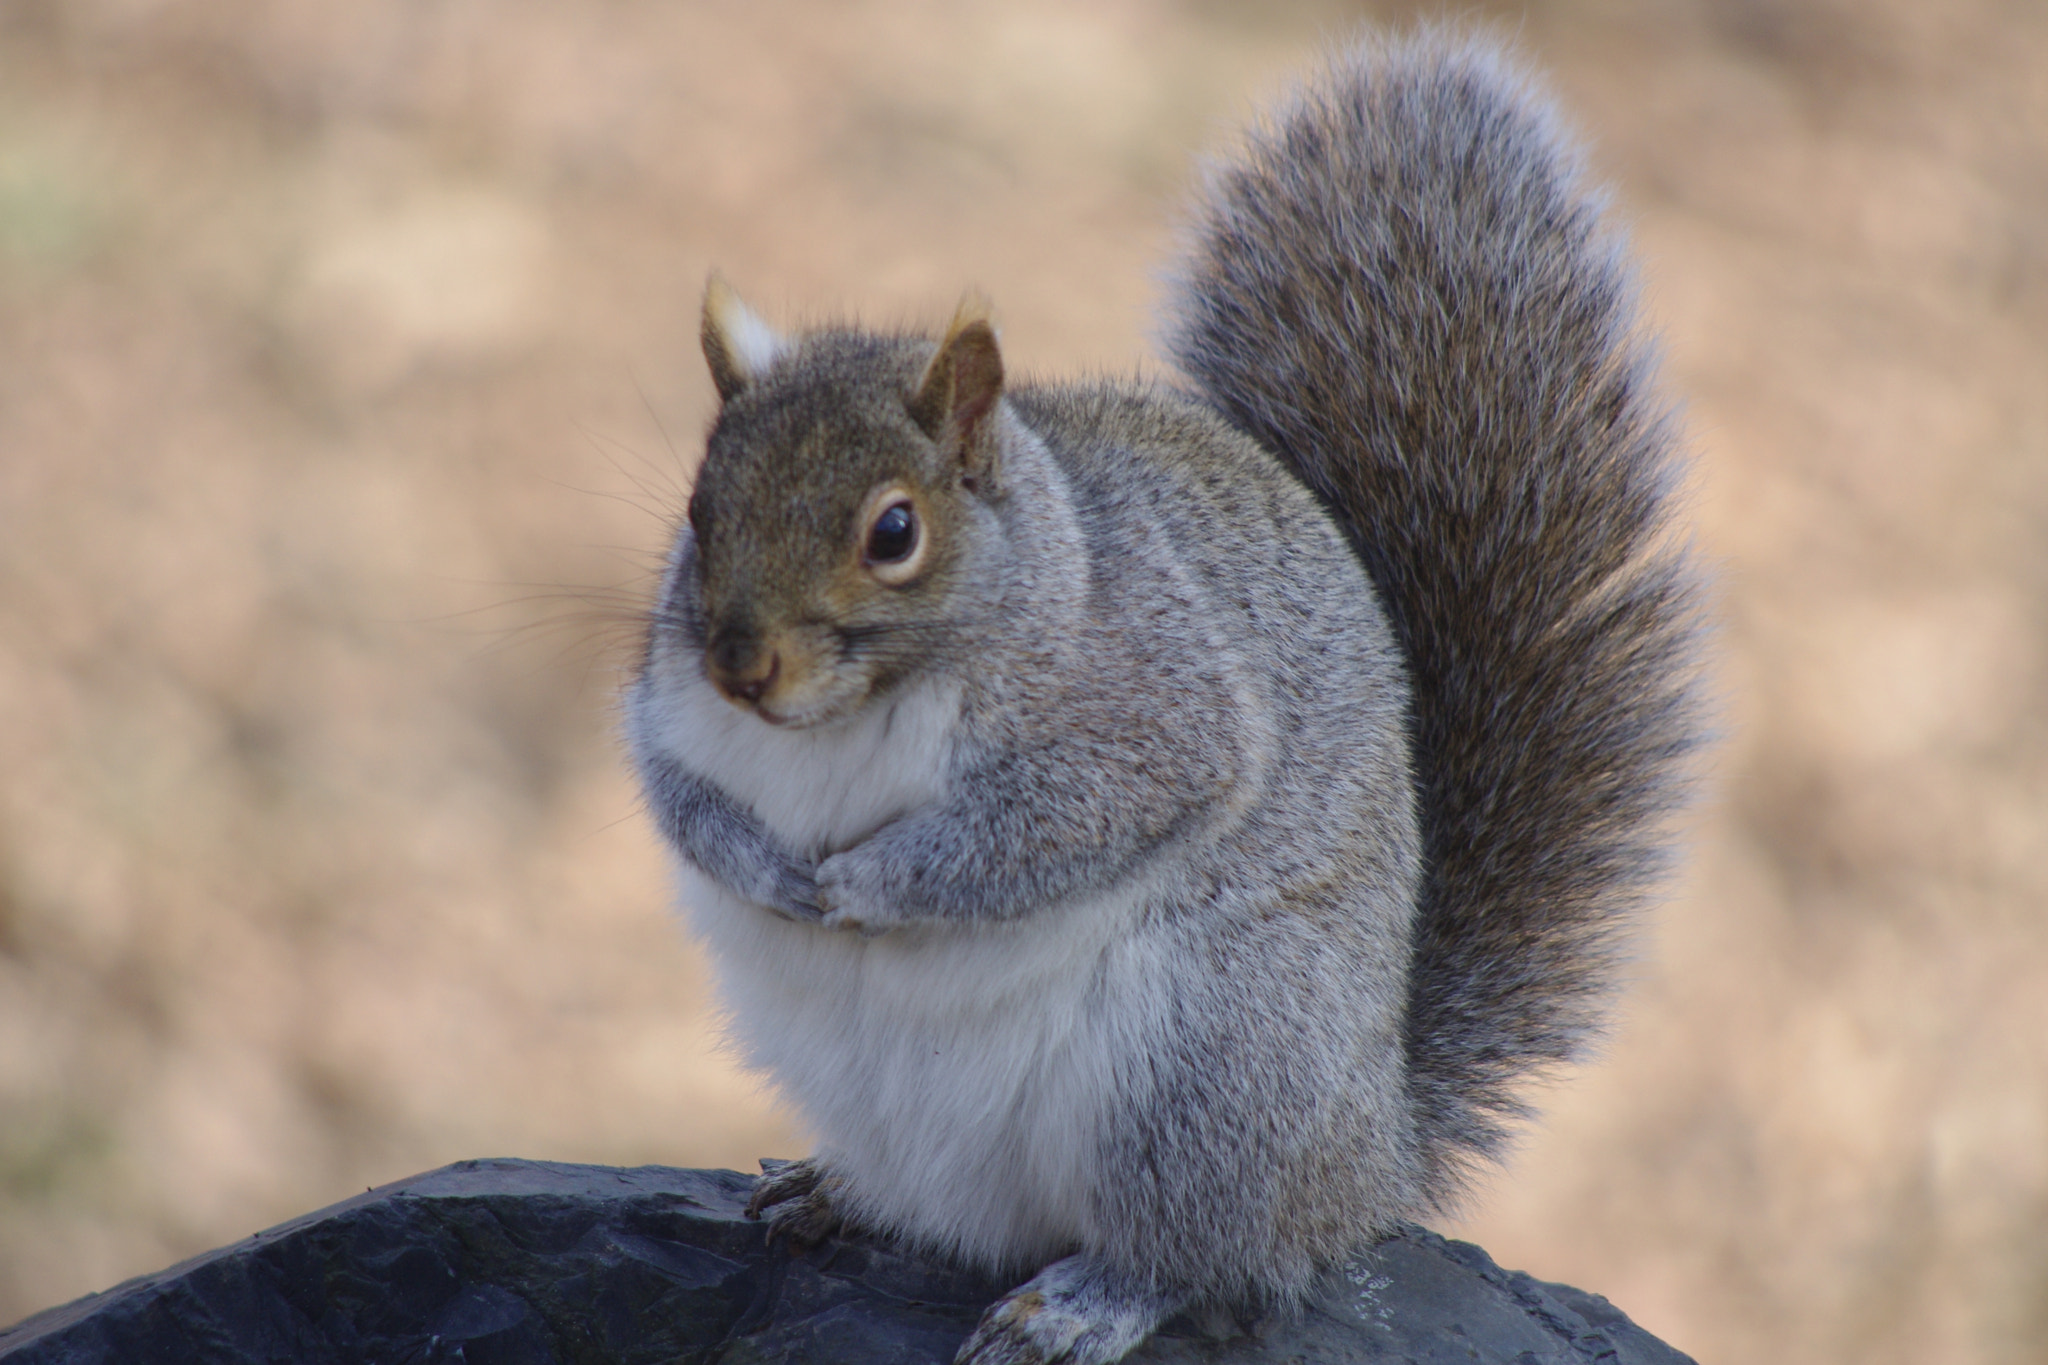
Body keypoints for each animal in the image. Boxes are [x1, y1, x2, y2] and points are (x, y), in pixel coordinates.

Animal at [622, 29, 1695, 1365]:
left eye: (893, 532)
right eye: (696, 510)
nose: (740, 666)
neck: (848, 712)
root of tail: (1366, 1168)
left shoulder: (1146, 716)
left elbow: (1055, 827)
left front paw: (865, 883)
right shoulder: (667, 711)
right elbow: (674, 797)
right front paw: (763, 868)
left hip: (1203, 1070)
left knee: (1195, 1257)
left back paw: (1081, 1302)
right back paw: (833, 1192)